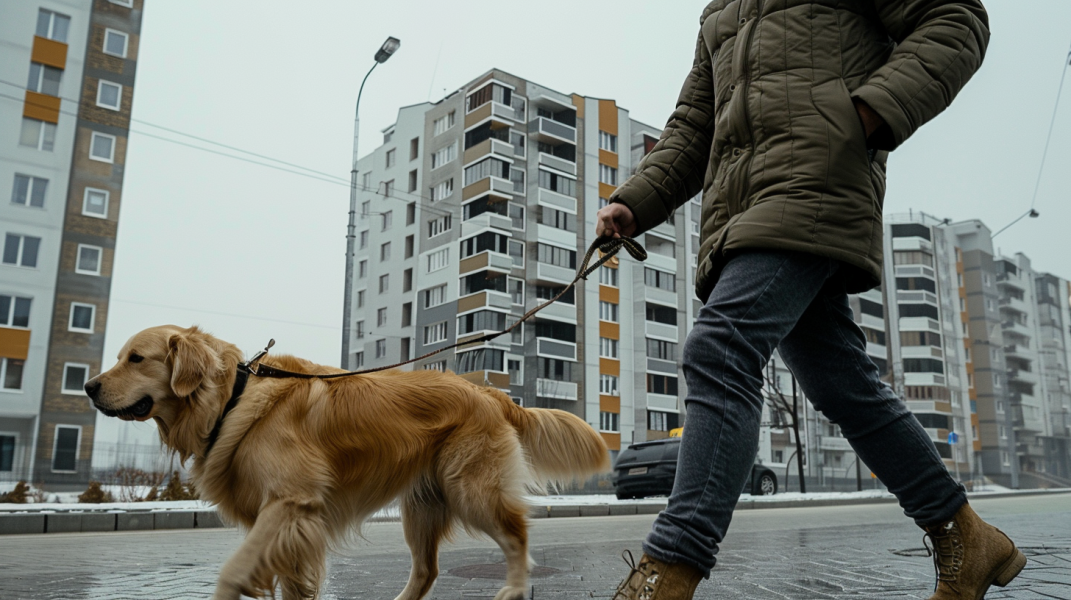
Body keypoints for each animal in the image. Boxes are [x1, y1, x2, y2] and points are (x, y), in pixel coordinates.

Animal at [85, 325, 612, 595]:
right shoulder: (289, 524)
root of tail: (490, 394)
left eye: (136, 358)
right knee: (427, 571)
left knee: (517, 535)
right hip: (422, 506)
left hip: (472, 489)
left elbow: (232, 573)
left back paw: (515, 589)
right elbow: (291, 585)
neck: (233, 396)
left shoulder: (291, 503)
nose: (88, 386)